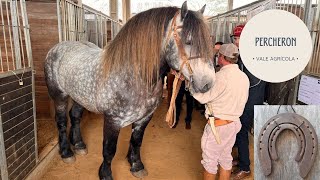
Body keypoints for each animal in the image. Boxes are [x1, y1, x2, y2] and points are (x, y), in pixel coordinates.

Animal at [44, 1, 215, 180]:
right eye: (188, 41)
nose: (208, 83)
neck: (136, 77)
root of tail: (58, 47)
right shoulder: (113, 120)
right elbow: (109, 150)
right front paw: (105, 174)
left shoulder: (145, 118)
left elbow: (136, 141)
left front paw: (136, 165)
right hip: (59, 96)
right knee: (62, 120)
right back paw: (66, 153)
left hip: (80, 97)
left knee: (75, 116)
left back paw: (79, 145)